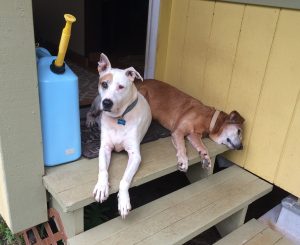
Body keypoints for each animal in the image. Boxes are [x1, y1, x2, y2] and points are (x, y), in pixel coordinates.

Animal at [92, 53, 151, 218]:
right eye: (104, 84)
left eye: (121, 87)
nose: (107, 102)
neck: (118, 118)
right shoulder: (104, 148)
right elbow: (103, 170)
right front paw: (102, 187)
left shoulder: (135, 155)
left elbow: (124, 180)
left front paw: (123, 200)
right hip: (96, 103)